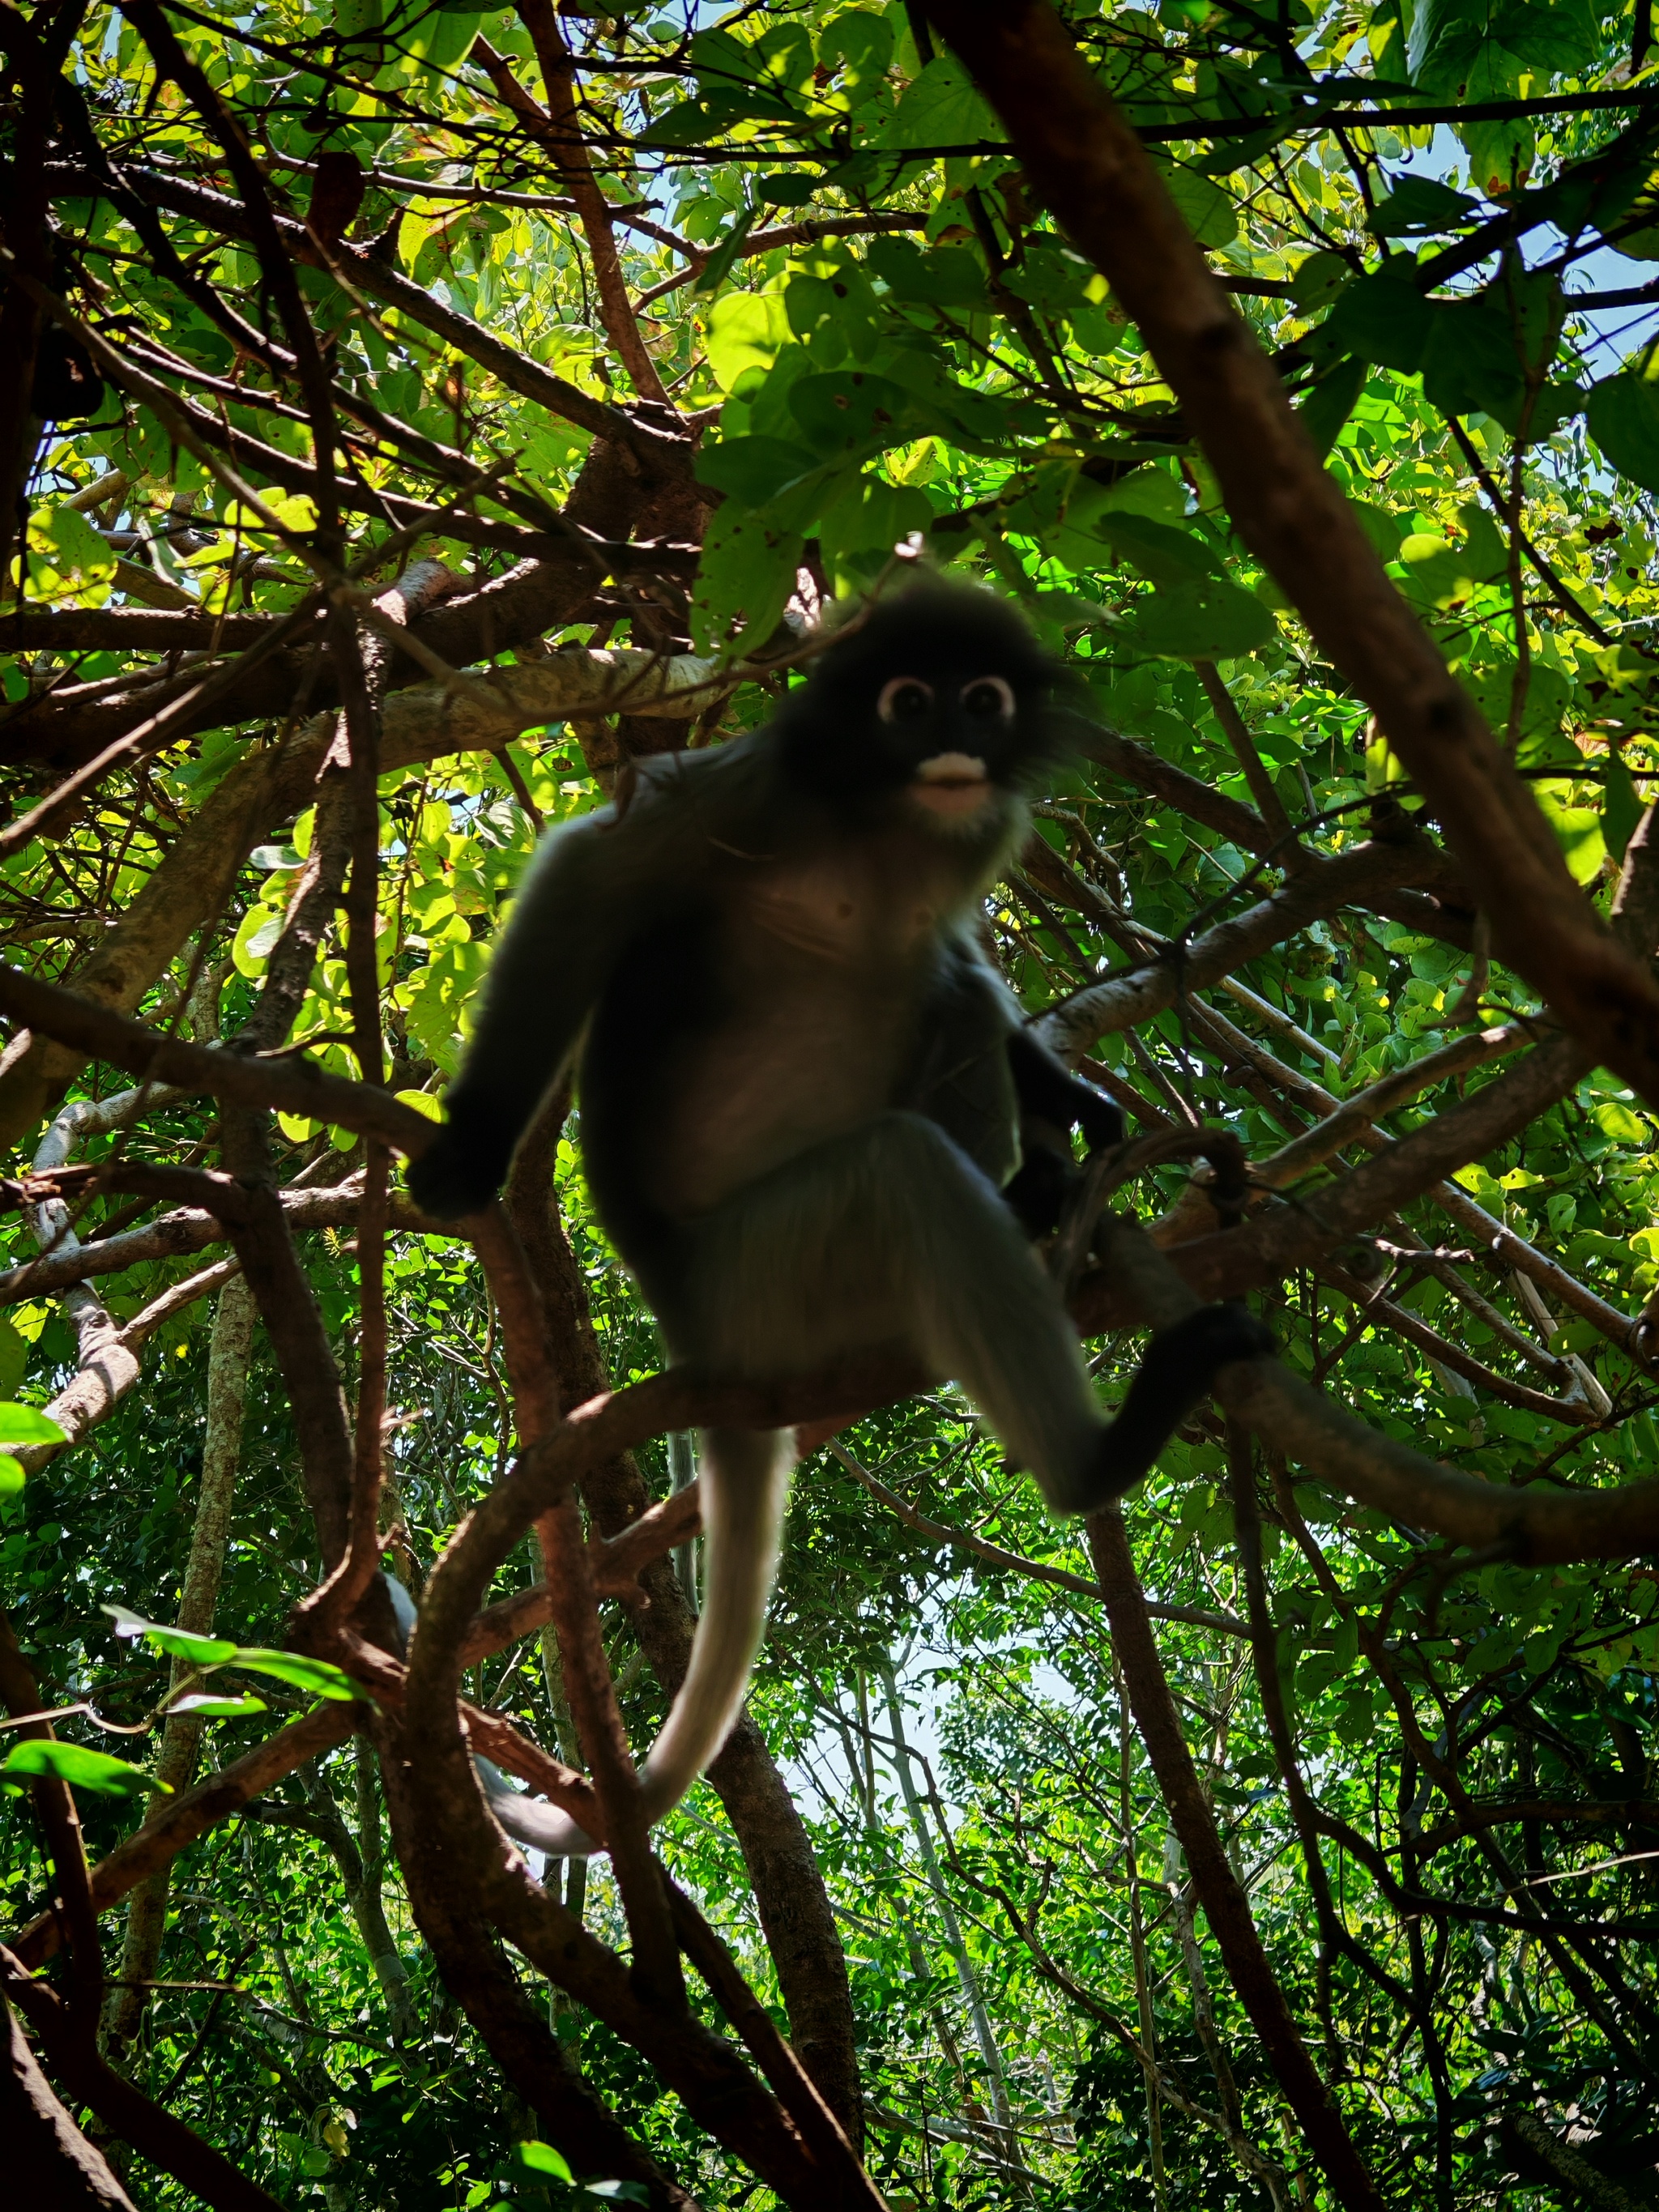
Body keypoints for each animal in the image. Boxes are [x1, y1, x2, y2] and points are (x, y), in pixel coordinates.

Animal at [409, 579, 1282, 1858]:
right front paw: (471, 1145)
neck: (885, 826)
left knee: (947, 983)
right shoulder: (760, 790)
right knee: (904, 1166)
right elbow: (593, 866)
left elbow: (960, 949)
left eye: (982, 699)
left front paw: (1064, 1095)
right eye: (907, 702)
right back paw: (1095, 1449)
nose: (953, 742)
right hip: (772, 1270)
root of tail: (688, 1324)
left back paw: (1037, 1189)